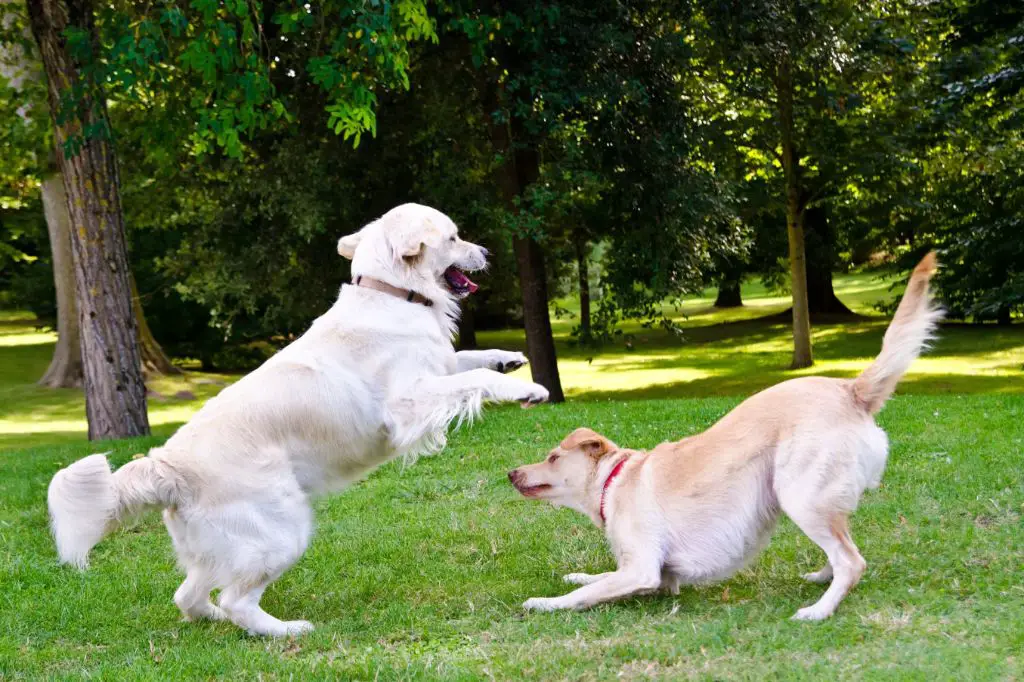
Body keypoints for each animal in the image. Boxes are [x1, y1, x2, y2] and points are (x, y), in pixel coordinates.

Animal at [46, 204, 552, 634]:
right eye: (453, 237)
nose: (486, 253)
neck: (392, 293)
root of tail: (166, 464)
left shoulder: (439, 367)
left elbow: (469, 359)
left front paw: (509, 359)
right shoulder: (406, 405)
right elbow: (475, 378)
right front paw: (526, 389)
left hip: (217, 547)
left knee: (188, 596)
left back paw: (218, 620)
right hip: (280, 531)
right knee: (236, 599)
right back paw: (286, 630)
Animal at [507, 251, 937, 618]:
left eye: (552, 457)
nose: (511, 473)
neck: (615, 481)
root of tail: (851, 390)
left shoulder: (643, 569)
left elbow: (584, 593)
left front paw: (545, 602)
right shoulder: (653, 575)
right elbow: (596, 578)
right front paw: (575, 575)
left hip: (799, 494)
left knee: (852, 561)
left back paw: (818, 610)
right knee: (841, 548)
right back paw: (821, 577)